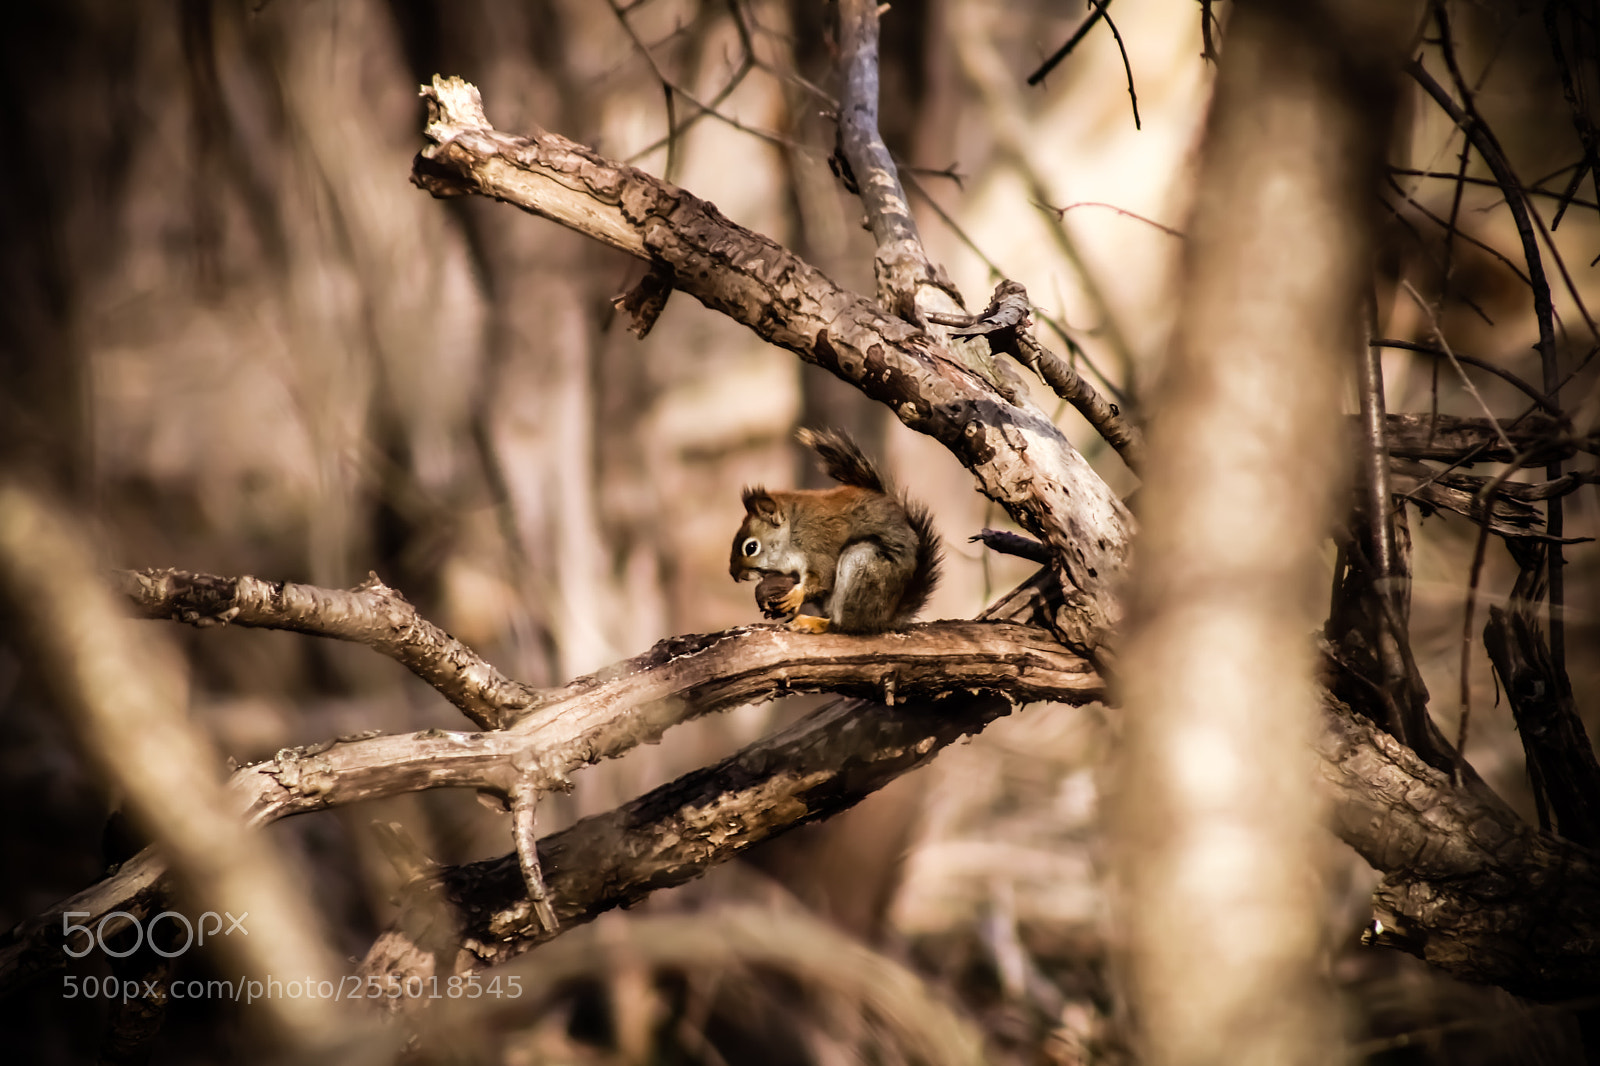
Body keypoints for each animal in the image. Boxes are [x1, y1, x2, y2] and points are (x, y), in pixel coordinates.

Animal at [729, 428, 942, 634]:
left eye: (751, 547)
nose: (734, 576)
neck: (792, 532)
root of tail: (885, 620)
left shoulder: (818, 545)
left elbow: (822, 578)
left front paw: (795, 596)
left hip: (862, 564)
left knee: (845, 626)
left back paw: (814, 623)